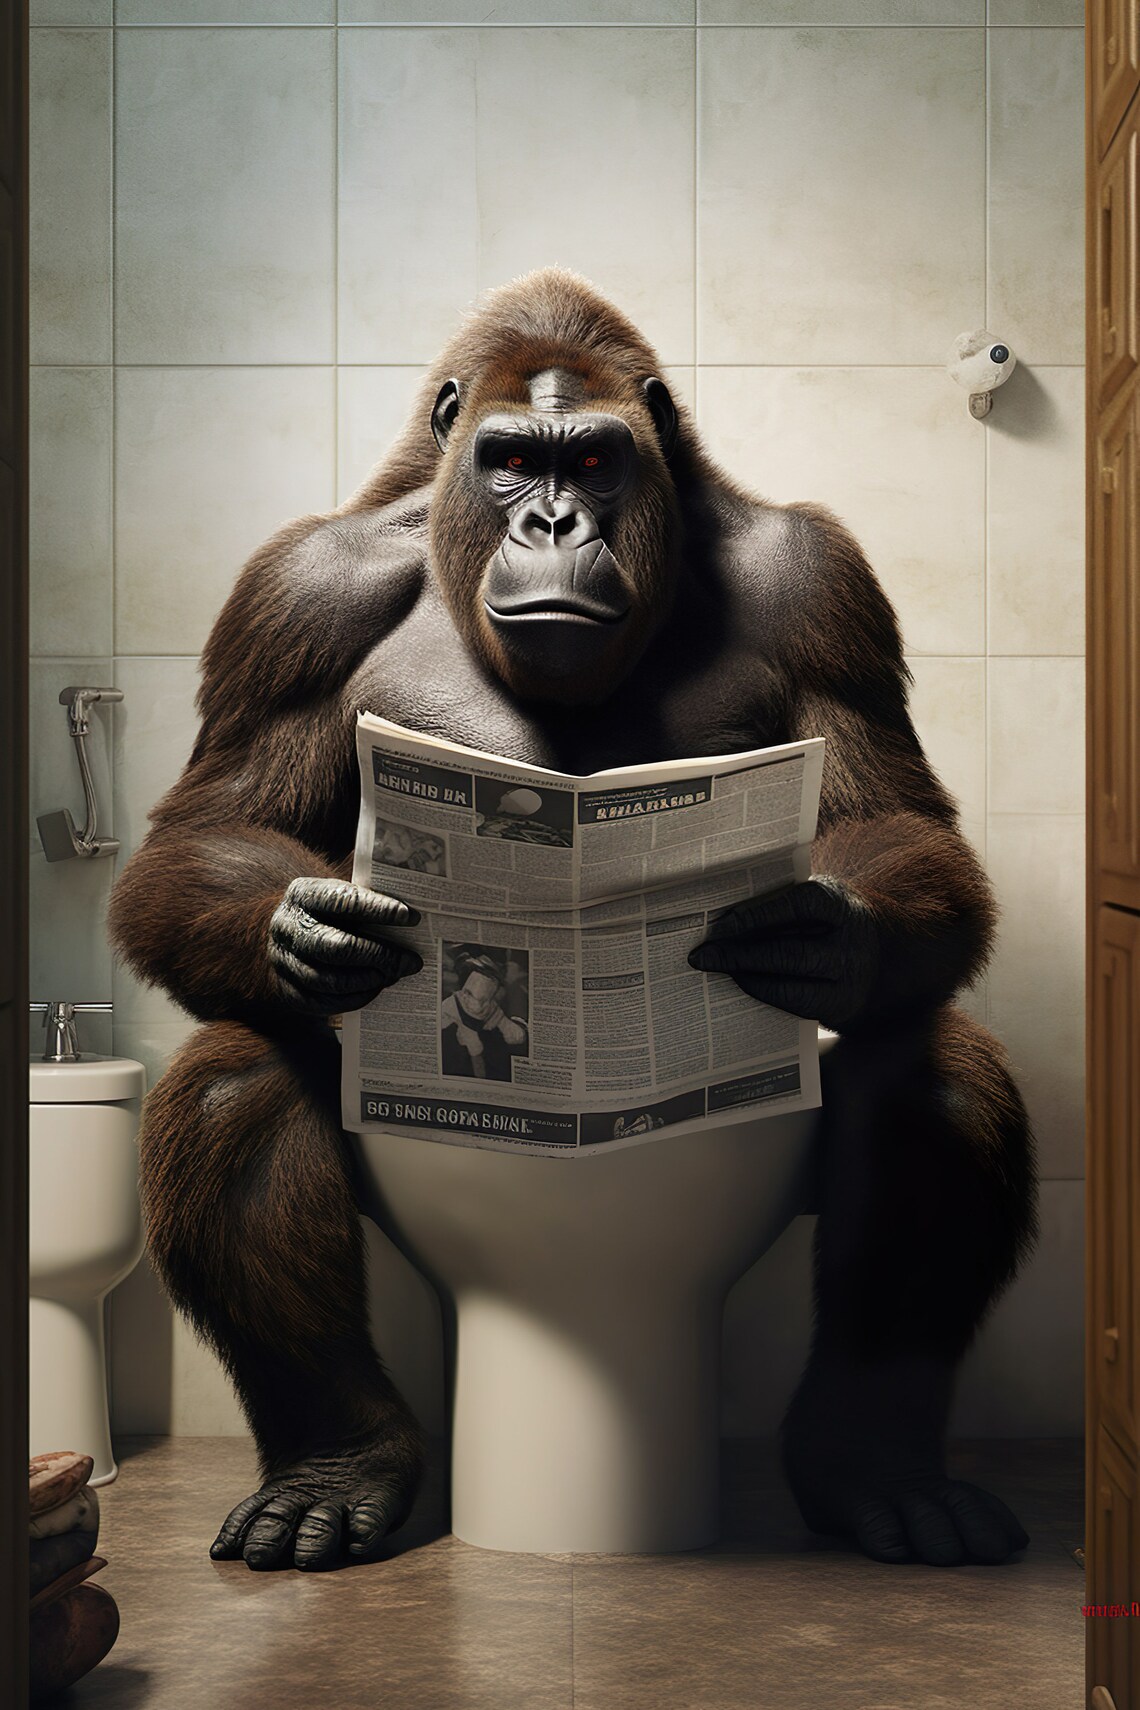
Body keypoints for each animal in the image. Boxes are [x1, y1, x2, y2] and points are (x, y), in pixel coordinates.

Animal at [109, 268, 1036, 1573]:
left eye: (595, 462)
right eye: (510, 461)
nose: (553, 525)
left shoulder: (818, 581)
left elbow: (895, 818)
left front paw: (826, 937)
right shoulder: (298, 592)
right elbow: (211, 825)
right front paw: (309, 935)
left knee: (929, 1073)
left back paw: (877, 1463)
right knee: (238, 1077)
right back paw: (337, 1462)